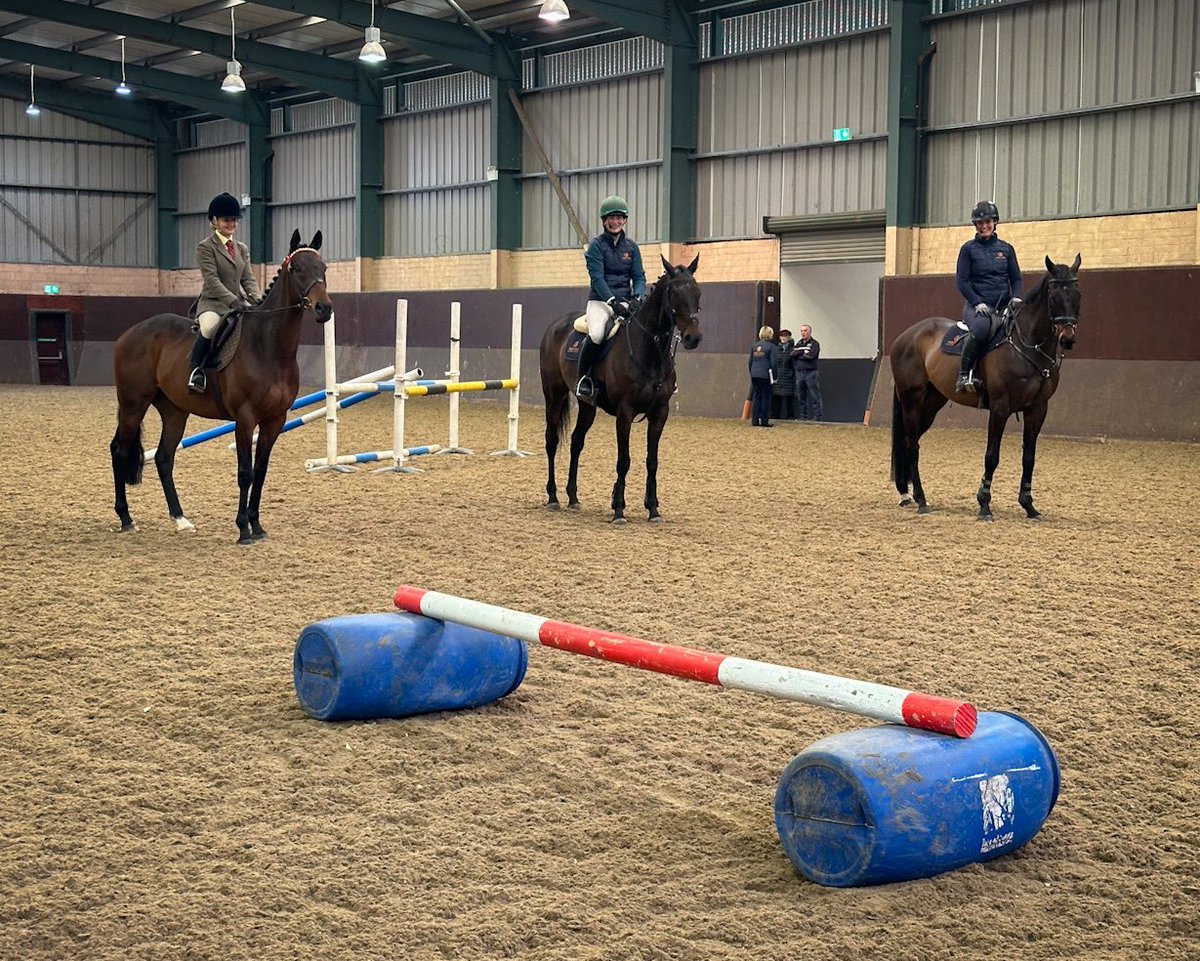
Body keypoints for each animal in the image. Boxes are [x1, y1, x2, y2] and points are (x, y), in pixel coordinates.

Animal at [111, 225, 333, 539]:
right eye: (297, 268)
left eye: (323, 268)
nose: (324, 309)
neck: (269, 348)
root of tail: (130, 333)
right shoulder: (245, 418)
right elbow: (245, 473)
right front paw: (243, 530)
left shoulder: (275, 420)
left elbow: (260, 472)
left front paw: (257, 525)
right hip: (134, 405)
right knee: (119, 451)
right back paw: (126, 517)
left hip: (174, 411)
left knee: (164, 458)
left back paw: (180, 518)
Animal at [537, 253, 700, 525]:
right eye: (673, 291)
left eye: (697, 291)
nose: (692, 338)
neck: (649, 351)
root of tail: (555, 326)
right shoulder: (625, 412)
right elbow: (624, 460)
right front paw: (619, 510)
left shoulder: (660, 413)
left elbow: (652, 461)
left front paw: (653, 509)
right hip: (554, 394)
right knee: (552, 440)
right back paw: (553, 497)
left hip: (587, 406)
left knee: (576, 442)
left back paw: (573, 498)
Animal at [888, 253, 1084, 518]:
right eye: (1053, 294)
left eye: (1077, 293)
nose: (1067, 337)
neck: (1027, 346)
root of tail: (905, 336)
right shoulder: (1000, 408)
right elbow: (992, 456)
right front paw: (984, 504)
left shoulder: (1037, 409)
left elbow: (1029, 457)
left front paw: (1029, 505)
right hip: (911, 400)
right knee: (911, 446)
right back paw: (920, 500)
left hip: (931, 404)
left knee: (910, 442)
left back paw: (907, 494)